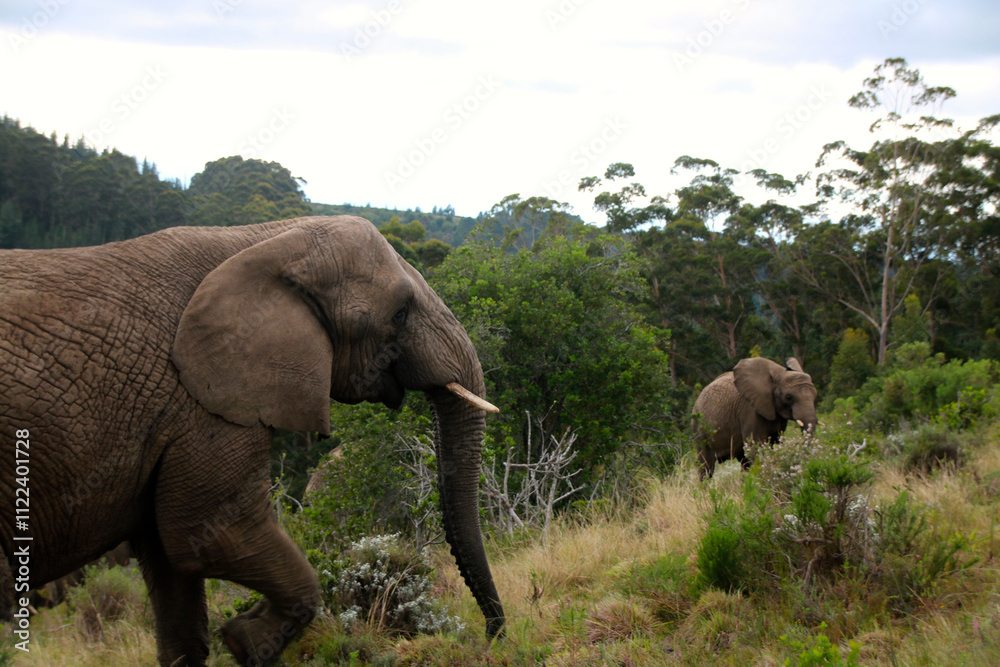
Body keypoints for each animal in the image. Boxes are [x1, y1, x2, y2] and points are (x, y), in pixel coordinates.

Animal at [0, 216, 504, 666]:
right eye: (399, 313)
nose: (492, 636)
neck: (263, 240)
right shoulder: (202, 403)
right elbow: (210, 536)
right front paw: (247, 640)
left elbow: (175, 576)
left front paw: (239, 635)